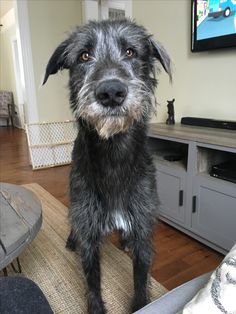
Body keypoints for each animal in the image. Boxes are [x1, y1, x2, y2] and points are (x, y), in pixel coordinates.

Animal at [43, 18, 171, 312]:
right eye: (84, 56)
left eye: (131, 52)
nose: (111, 92)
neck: (114, 154)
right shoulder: (89, 229)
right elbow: (92, 283)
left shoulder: (143, 226)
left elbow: (141, 278)